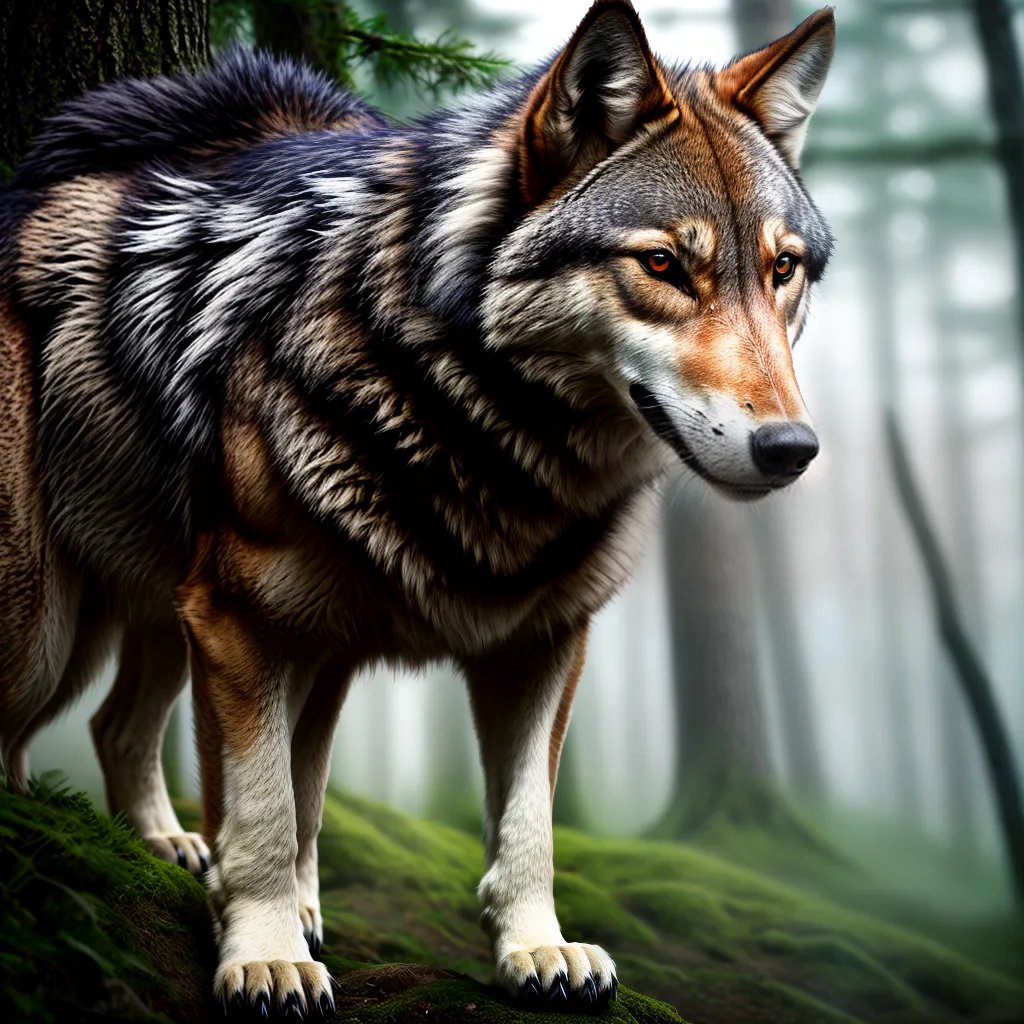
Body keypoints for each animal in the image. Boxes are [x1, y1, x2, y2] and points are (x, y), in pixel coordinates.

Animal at [0, 1, 834, 1017]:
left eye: (783, 269)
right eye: (664, 264)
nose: (791, 450)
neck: (489, 443)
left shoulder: (543, 641)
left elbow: (525, 821)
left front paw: (538, 950)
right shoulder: (239, 624)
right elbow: (266, 811)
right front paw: (265, 957)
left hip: (233, 633)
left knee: (120, 728)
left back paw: (175, 852)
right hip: (51, 632)